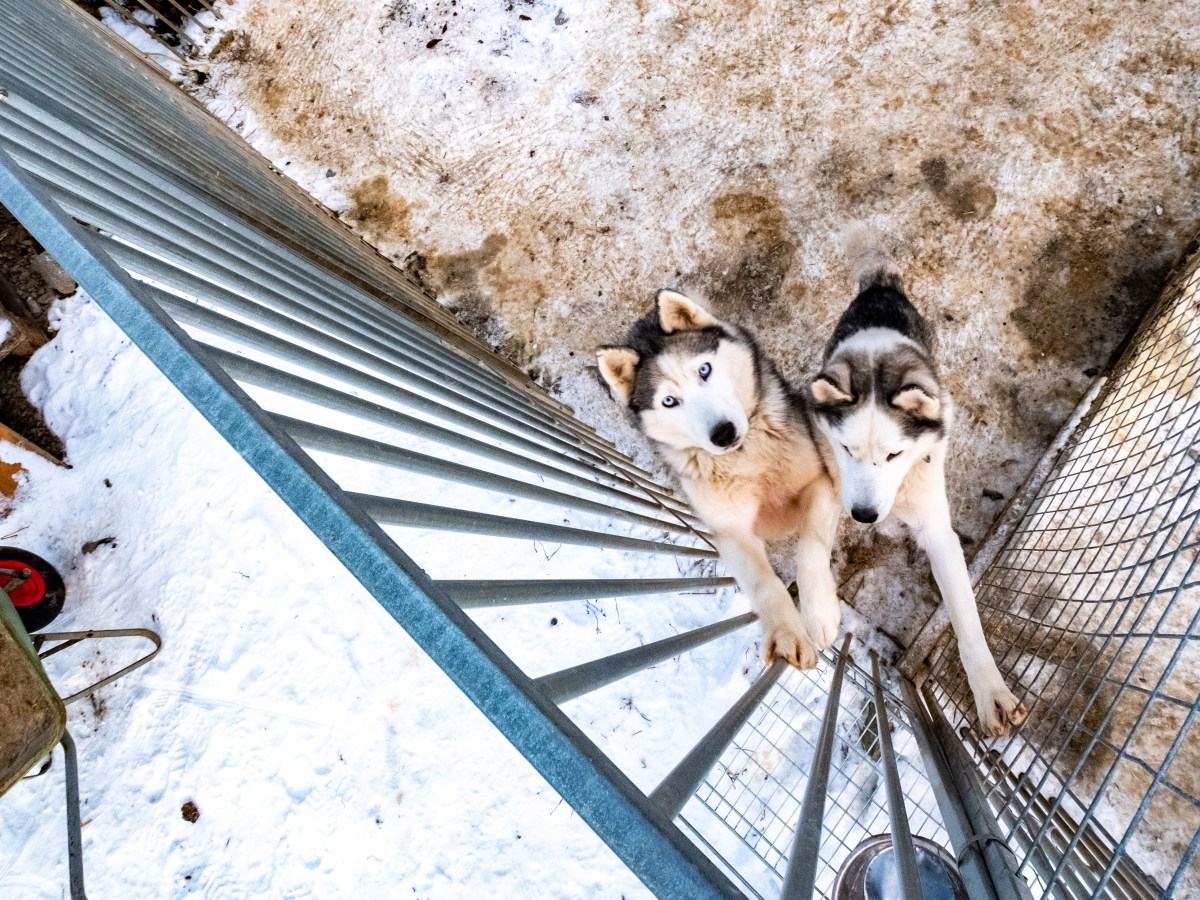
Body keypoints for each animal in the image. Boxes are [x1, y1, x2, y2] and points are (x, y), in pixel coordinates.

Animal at [592, 290, 840, 672]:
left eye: (704, 370)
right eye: (669, 401)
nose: (723, 433)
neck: (746, 458)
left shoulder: (819, 481)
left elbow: (811, 544)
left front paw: (820, 614)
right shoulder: (730, 531)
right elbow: (764, 581)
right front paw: (786, 632)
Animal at [811, 230, 1027, 739]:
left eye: (894, 455)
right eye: (847, 449)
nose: (865, 516)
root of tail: (881, 287)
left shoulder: (936, 527)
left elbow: (965, 617)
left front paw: (989, 693)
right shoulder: (832, 482)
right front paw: (819, 608)